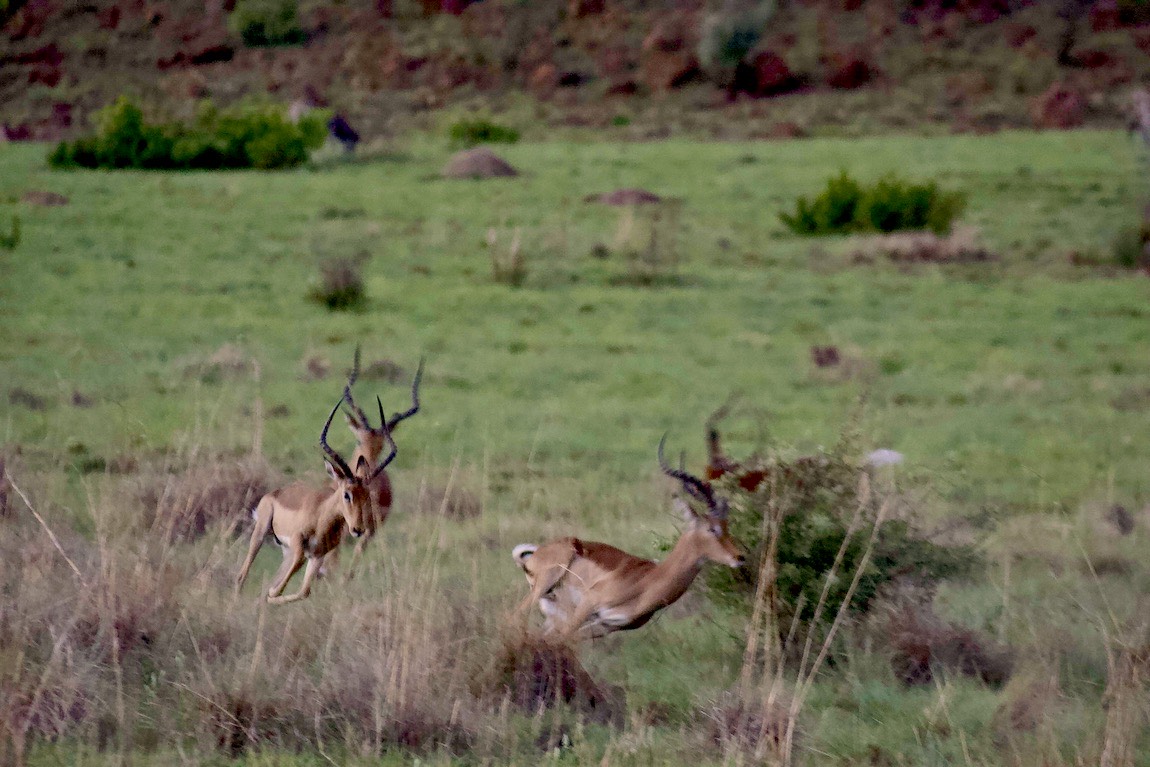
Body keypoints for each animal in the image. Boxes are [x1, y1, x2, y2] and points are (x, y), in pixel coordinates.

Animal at [236, 396, 396, 605]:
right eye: (346, 494)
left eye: (367, 495)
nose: (358, 529)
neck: (322, 519)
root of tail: (275, 493)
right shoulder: (299, 545)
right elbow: (284, 584)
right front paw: (271, 595)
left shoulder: (317, 556)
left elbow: (303, 591)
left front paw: (270, 596)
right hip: (261, 534)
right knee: (242, 575)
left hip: (286, 550)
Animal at [511, 437, 746, 640]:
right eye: (711, 529)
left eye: (726, 526)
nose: (739, 557)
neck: (648, 581)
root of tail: (534, 555)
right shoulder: (589, 604)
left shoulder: (606, 626)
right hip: (544, 587)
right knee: (514, 617)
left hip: (554, 609)